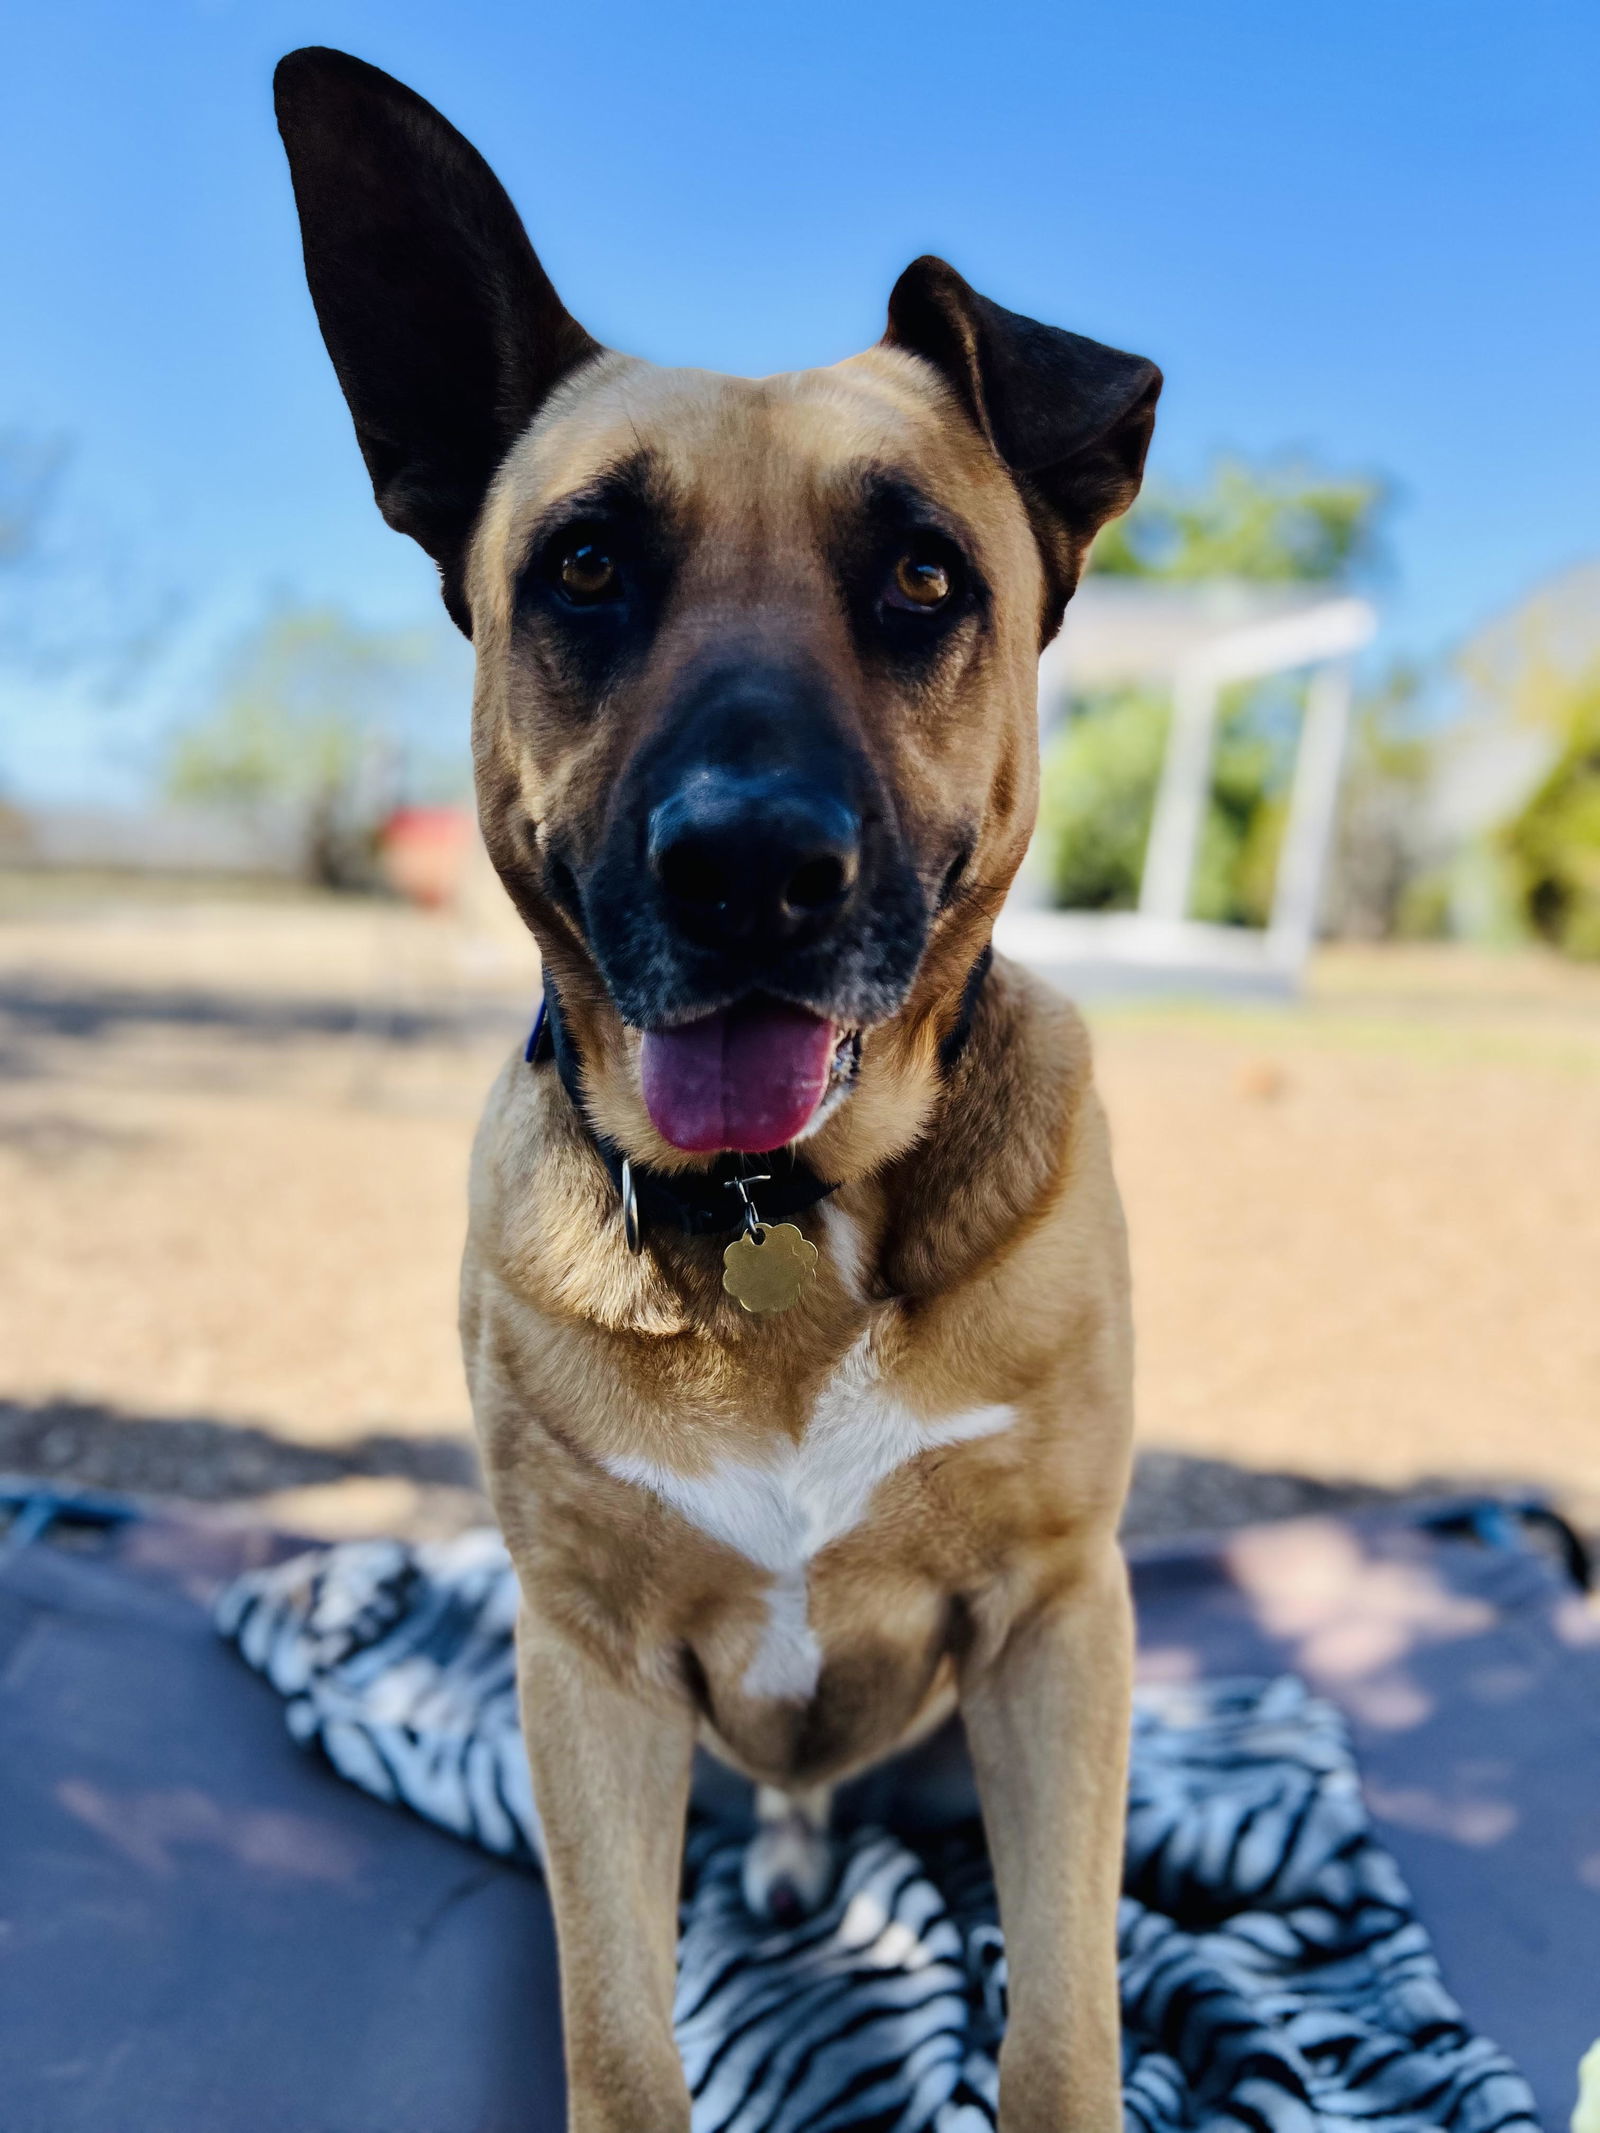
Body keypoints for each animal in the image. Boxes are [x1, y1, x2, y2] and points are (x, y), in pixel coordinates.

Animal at [275, 45, 1169, 2115]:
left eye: (924, 571)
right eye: (587, 563)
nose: (752, 869)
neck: (790, 1207)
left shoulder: (1059, 1627)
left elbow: (1064, 2020)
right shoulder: (585, 1669)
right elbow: (619, 2037)